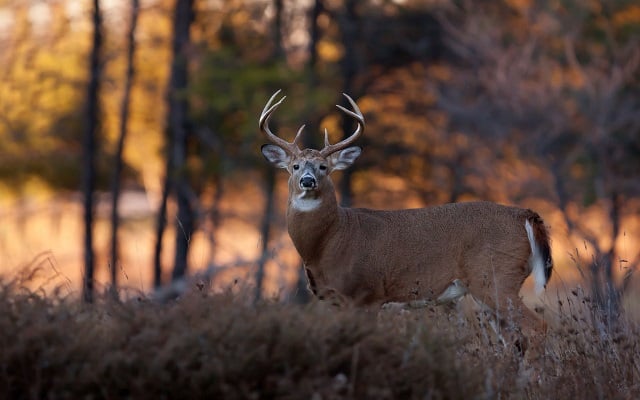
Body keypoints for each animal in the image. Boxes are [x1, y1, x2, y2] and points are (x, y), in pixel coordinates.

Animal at [258, 90, 552, 344]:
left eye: (323, 167)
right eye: (294, 166)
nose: (307, 181)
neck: (329, 241)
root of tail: (525, 215)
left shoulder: (366, 294)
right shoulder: (335, 300)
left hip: (496, 278)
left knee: (538, 328)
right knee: (514, 338)